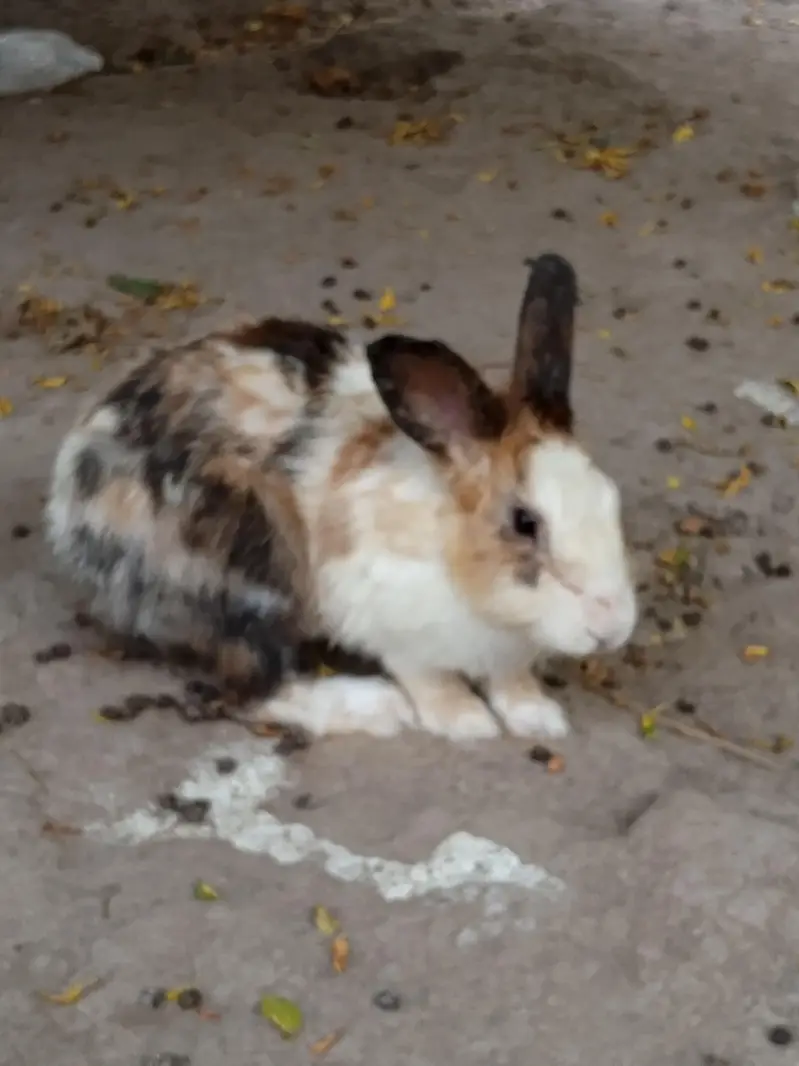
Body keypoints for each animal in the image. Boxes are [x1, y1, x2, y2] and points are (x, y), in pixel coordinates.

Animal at [46, 252, 637, 741]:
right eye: (525, 522)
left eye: (610, 498)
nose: (612, 628)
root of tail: (71, 505)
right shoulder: (390, 623)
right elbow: (428, 677)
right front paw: (465, 721)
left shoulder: (505, 653)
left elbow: (511, 680)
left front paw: (538, 717)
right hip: (249, 567)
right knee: (248, 690)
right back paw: (377, 708)